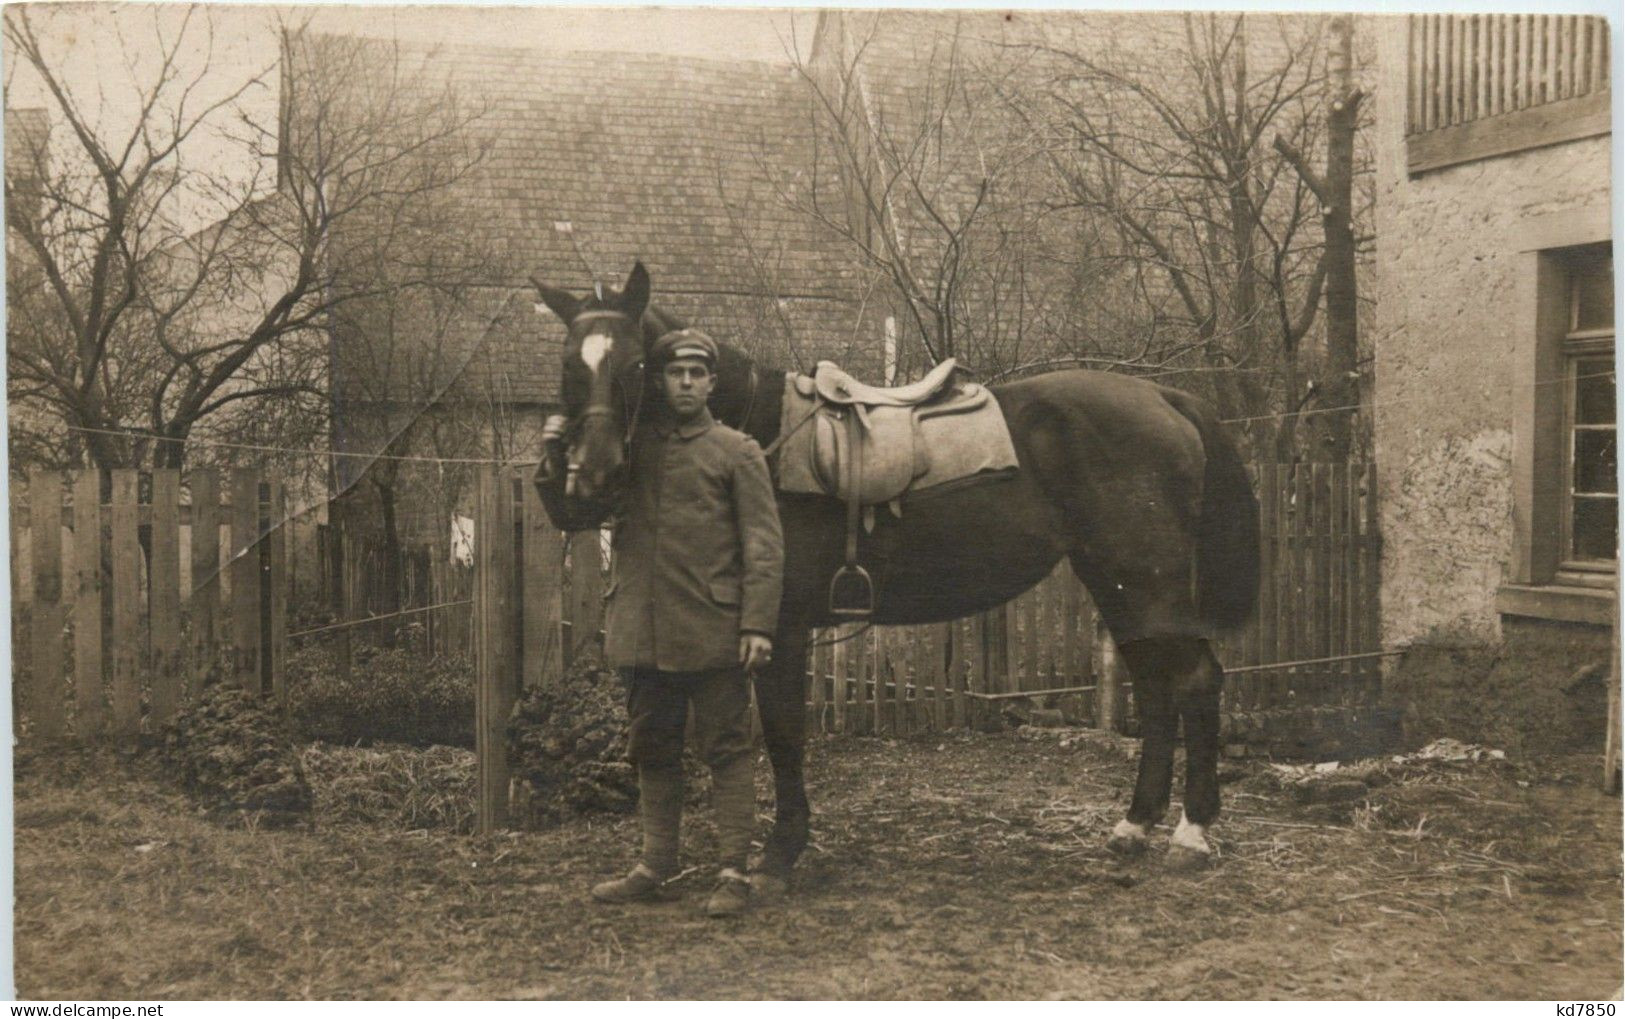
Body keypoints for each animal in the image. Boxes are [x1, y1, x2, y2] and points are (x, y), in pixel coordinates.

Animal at [533, 264, 1254, 890]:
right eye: (568, 363)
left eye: (635, 364)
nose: (592, 475)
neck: (753, 430)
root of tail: (1163, 396)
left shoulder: (781, 629)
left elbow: (785, 734)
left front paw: (782, 852)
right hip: (1121, 587)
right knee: (1155, 689)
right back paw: (1134, 826)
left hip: (1149, 584)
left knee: (1194, 682)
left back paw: (1190, 834)